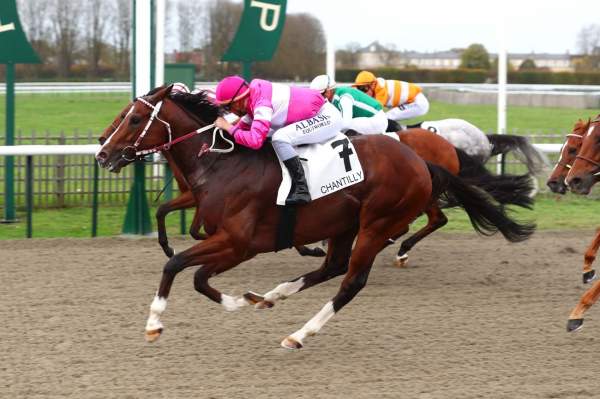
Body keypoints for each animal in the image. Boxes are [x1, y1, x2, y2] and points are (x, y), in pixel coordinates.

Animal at [96, 85, 532, 350]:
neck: (224, 164)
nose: (102, 152)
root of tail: (421, 159)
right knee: (333, 266)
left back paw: (299, 332)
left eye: (134, 119)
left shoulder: (239, 243)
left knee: (352, 280)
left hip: (376, 223)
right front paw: (240, 299)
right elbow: (187, 263)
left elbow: (187, 270)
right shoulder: (230, 240)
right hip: (345, 224)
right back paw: (272, 295)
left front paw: (160, 321)